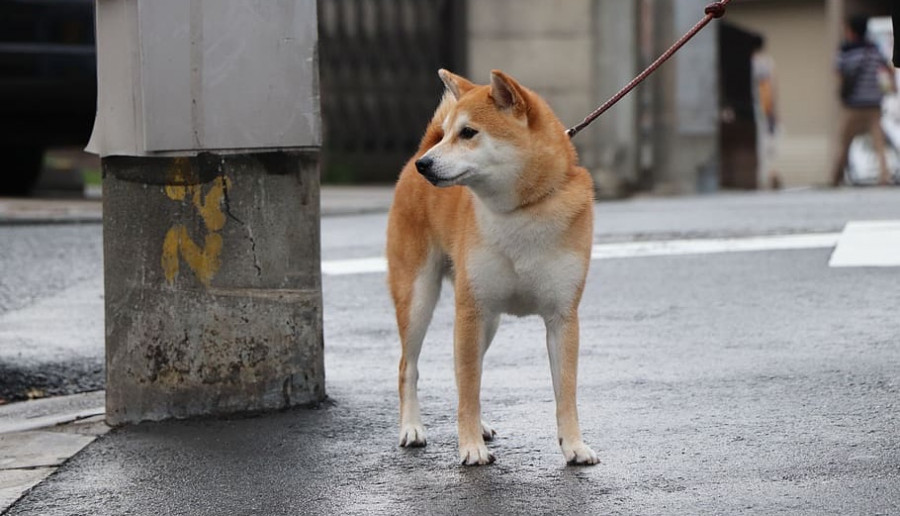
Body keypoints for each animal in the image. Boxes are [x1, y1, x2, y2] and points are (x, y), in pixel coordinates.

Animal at [384, 68, 596, 468]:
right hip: (420, 298)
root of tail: (418, 150)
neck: (521, 212)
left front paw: (574, 445)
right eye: (450, 132)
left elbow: (566, 391)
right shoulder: (470, 310)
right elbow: (469, 387)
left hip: (489, 321)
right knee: (409, 367)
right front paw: (469, 447)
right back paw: (412, 428)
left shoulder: (563, 316)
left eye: (468, 133)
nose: (425, 165)